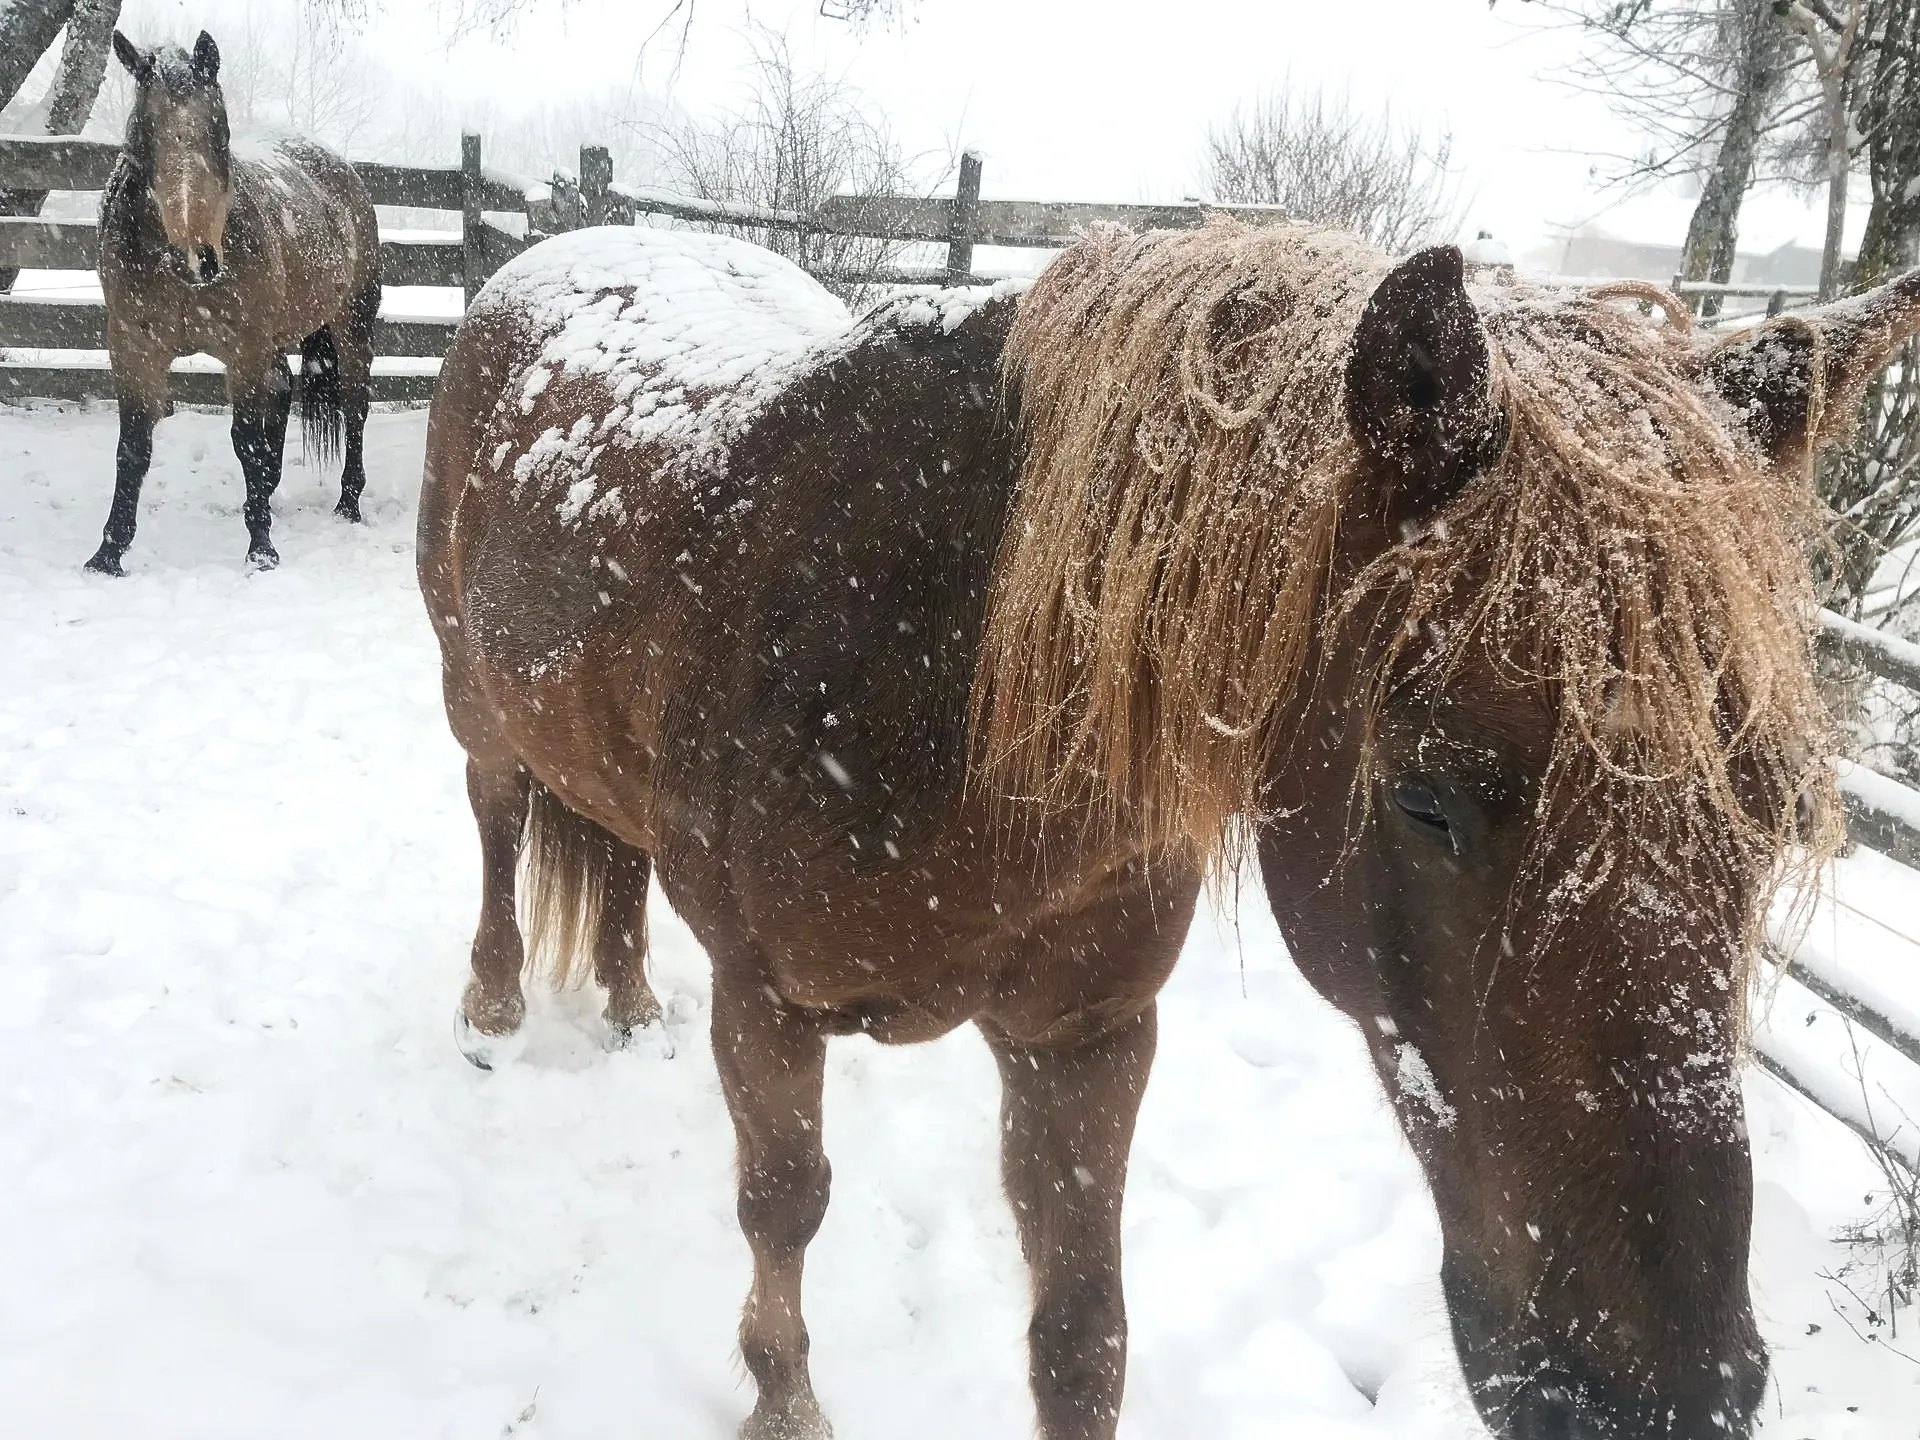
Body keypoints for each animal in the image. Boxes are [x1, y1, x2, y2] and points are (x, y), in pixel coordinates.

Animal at [84, 30, 381, 576]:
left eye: (218, 130)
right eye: (142, 133)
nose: (196, 257)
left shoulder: (242, 350)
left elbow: (246, 440)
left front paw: (260, 547)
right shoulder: (133, 350)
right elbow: (133, 448)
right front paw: (108, 552)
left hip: (351, 327)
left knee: (353, 408)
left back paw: (347, 502)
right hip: (276, 340)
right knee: (283, 387)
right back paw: (268, 492)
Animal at [417, 218, 1920, 1440]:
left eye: (1776, 814)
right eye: (1427, 795)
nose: (1670, 1398)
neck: (942, 685)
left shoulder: (1087, 1040)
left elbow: (1084, 1335)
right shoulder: (767, 1001)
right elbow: (785, 1203)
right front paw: (783, 1400)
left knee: (606, 855)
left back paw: (623, 994)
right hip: (474, 709)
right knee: (496, 824)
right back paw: (492, 998)